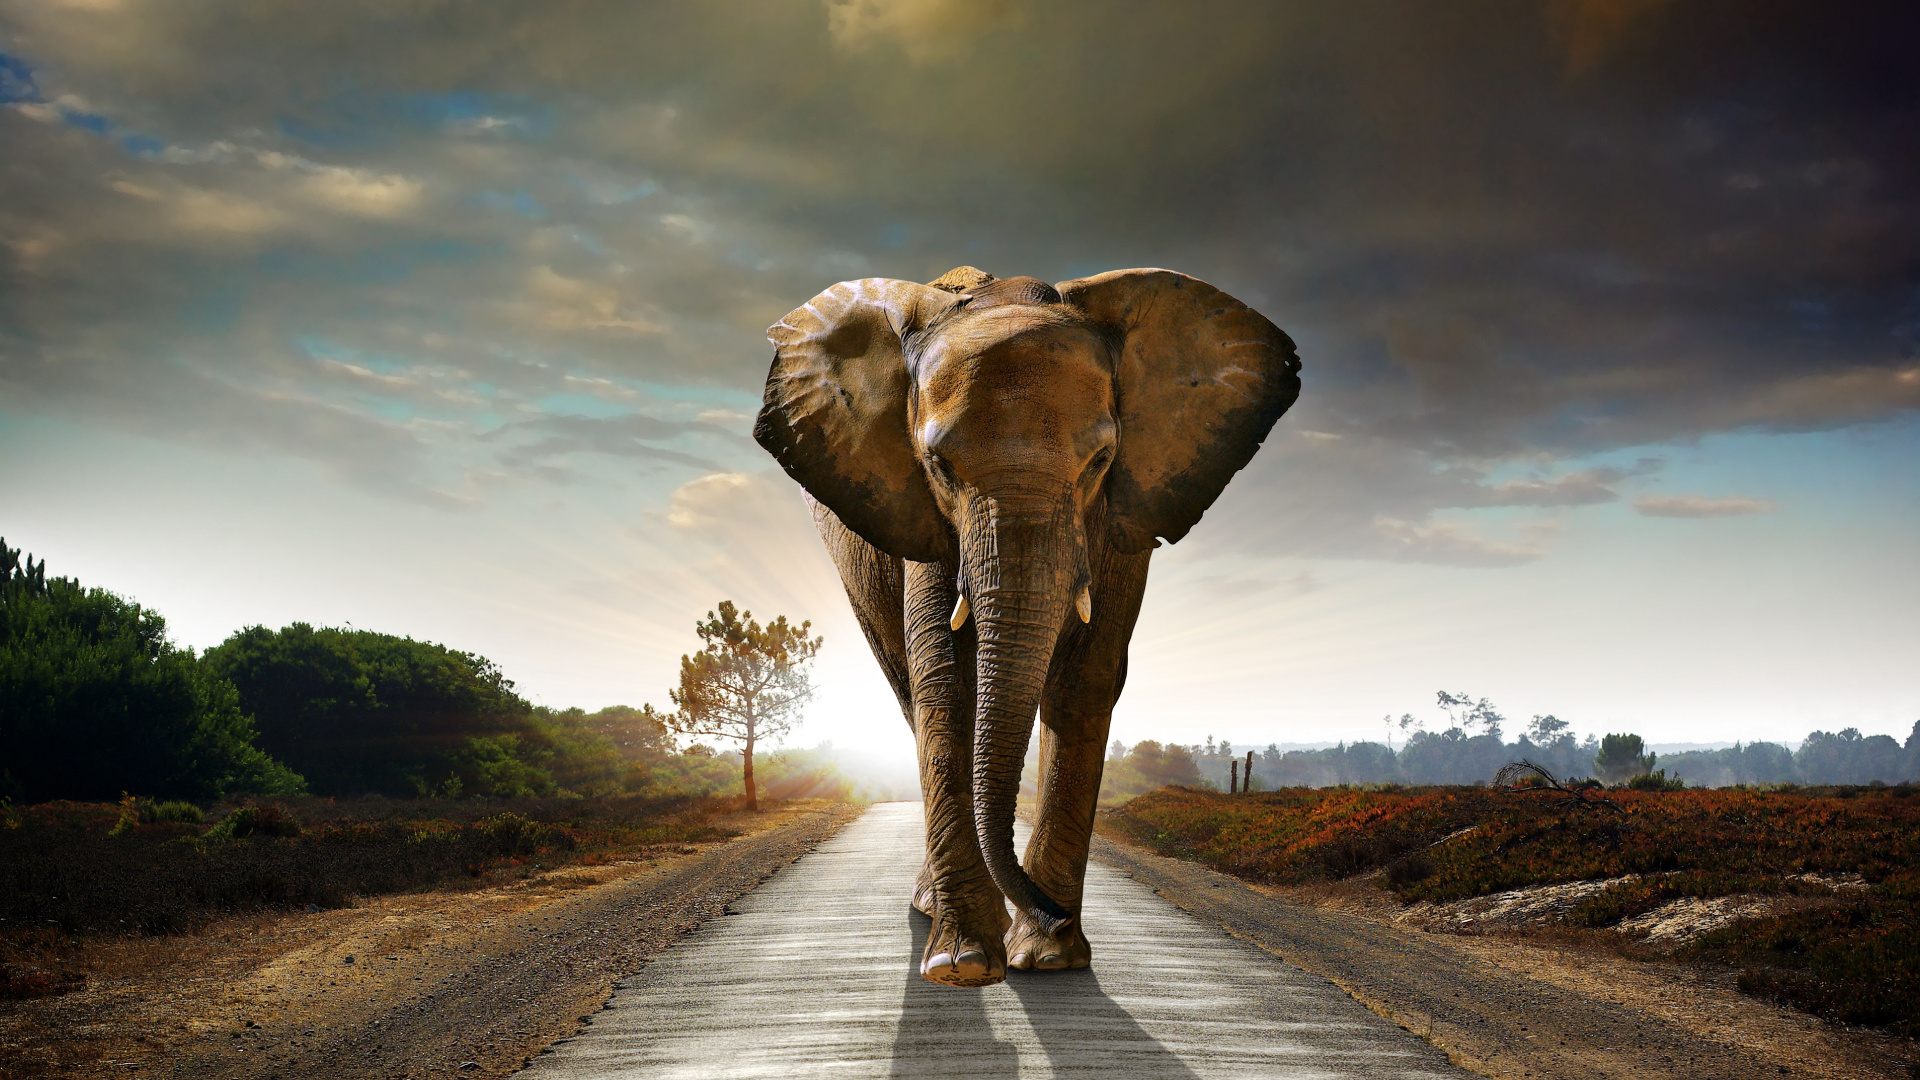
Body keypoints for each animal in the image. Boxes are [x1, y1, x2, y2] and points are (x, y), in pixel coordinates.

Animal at [753, 265, 1300, 987]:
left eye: (1100, 460)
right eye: (939, 465)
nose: (1052, 913)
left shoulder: (1123, 515)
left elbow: (1086, 679)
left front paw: (1047, 958)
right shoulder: (923, 516)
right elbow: (947, 679)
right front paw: (963, 965)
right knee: (908, 689)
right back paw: (934, 911)